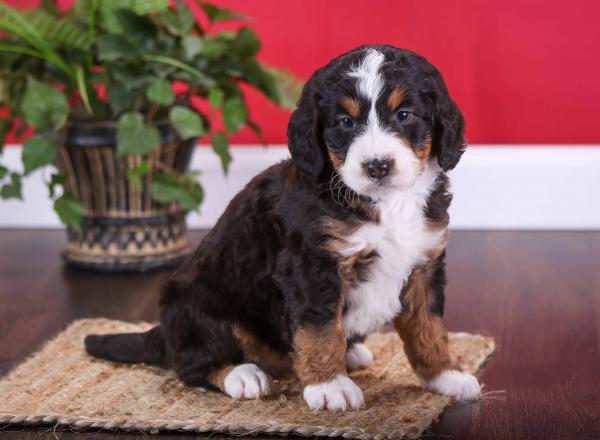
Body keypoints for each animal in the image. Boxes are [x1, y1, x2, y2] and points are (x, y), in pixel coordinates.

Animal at [84, 43, 480, 410]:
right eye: (345, 122)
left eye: (404, 115)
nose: (378, 165)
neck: (385, 203)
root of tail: (163, 332)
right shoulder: (312, 265)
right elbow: (320, 327)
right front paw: (329, 385)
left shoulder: (425, 264)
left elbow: (428, 328)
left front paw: (446, 376)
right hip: (198, 303)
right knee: (193, 363)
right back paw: (242, 375)